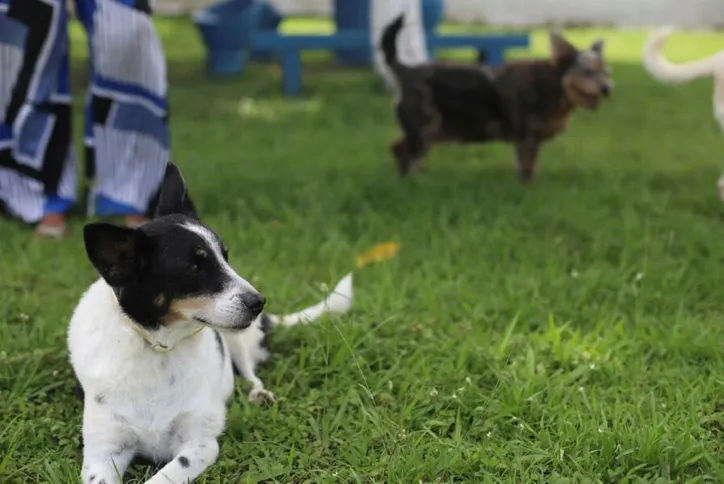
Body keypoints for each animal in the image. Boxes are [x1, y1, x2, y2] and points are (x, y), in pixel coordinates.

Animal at [382, 16, 612, 182]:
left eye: (606, 73)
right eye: (588, 73)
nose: (607, 89)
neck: (556, 86)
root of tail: (407, 71)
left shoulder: (526, 141)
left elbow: (526, 164)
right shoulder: (527, 138)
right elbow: (528, 165)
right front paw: (529, 187)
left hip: (424, 130)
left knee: (401, 149)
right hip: (424, 127)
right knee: (401, 151)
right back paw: (407, 181)